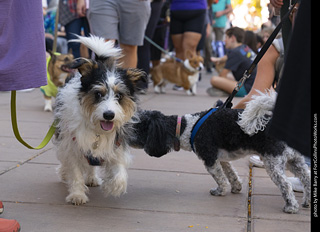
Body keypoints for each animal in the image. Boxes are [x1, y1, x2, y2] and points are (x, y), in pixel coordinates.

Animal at [53, 35, 145, 205]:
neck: (98, 131)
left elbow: (119, 173)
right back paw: (64, 173)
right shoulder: (73, 145)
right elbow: (75, 171)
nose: (109, 115)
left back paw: (92, 178)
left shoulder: (115, 146)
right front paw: (77, 195)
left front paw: (112, 186)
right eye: (98, 94)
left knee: (91, 165)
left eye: (119, 95)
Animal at [129, 92, 310, 214]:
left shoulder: (209, 158)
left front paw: (220, 191)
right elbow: (231, 174)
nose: (124, 135)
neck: (186, 127)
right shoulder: (221, 159)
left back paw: (291, 207)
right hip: (295, 160)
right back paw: (307, 202)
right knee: (307, 178)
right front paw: (236, 187)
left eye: (136, 127)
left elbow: (220, 177)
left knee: (285, 184)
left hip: (273, 162)